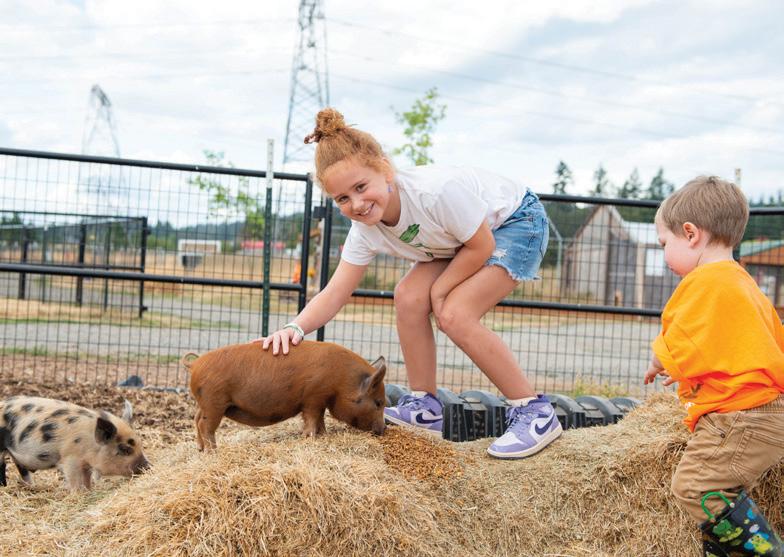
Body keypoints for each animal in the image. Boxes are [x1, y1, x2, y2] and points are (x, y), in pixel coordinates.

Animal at [0, 396, 149, 490]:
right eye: (125, 449)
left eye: (140, 444)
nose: (148, 466)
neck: (89, 442)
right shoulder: (70, 460)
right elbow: (75, 481)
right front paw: (78, 494)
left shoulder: (85, 464)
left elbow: (87, 479)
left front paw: (89, 491)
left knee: (21, 467)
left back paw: (32, 487)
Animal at [183, 340, 387, 451]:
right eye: (378, 403)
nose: (384, 429)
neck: (342, 380)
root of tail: (195, 364)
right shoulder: (313, 397)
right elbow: (312, 418)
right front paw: (310, 437)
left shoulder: (320, 401)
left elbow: (320, 419)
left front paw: (323, 436)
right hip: (214, 401)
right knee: (205, 425)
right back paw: (212, 451)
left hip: (206, 403)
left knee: (196, 419)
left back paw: (200, 449)